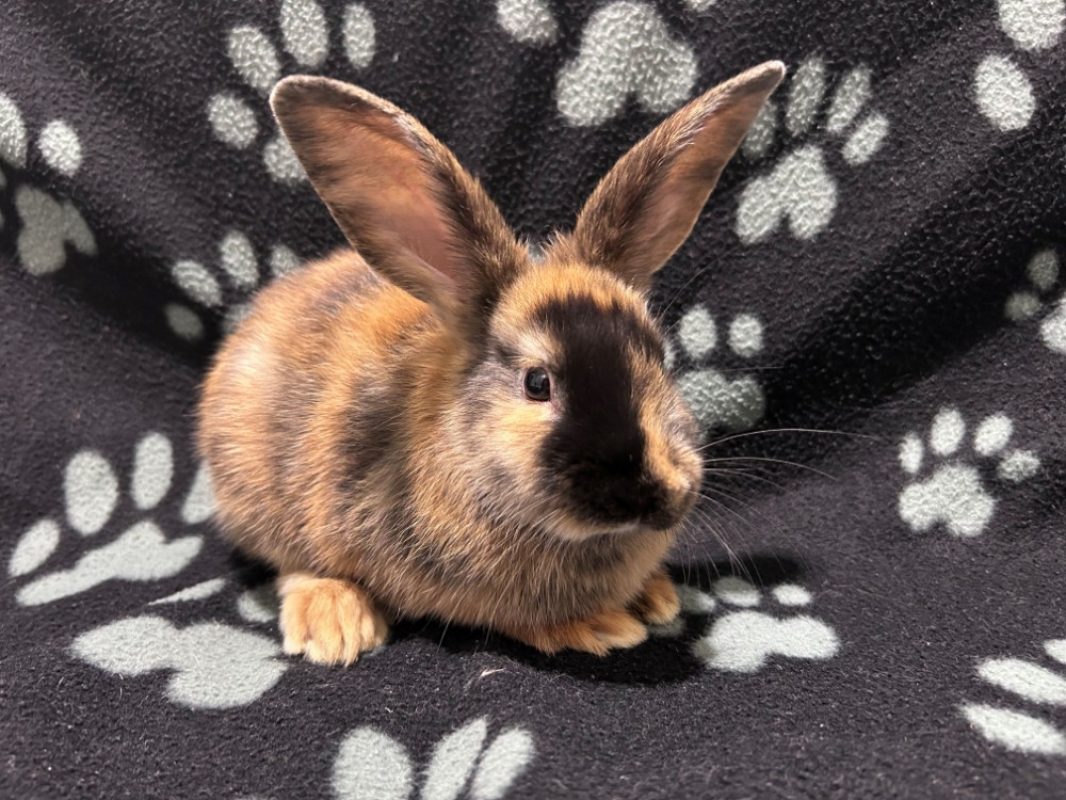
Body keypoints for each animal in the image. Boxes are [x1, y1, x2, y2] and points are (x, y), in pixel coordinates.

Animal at [197, 61, 785, 665]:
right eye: (536, 382)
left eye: (661, 358)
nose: (645, 495)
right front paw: (600, 626)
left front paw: (656, 596)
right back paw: (335, 626)